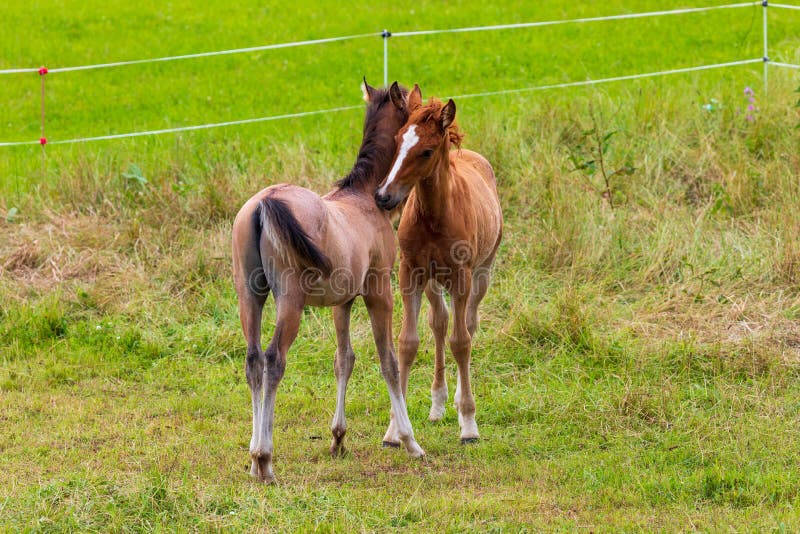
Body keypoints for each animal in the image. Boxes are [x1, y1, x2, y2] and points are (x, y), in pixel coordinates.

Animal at [231, 80, 424, 486]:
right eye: (408, 114)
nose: (391, 195)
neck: (364, 197)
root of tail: (266, 202)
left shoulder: (342, 301)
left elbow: (343, 359)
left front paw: (338, 438)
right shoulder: (378, 291)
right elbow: (388, 360)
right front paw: (409, 440)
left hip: (250, 297)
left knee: (253, 361)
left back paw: (254, 460)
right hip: (290, 302)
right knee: (274, 360)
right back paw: (265, 459)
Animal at [374, 86, 500, 446]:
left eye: (426, 151)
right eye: (398, 139)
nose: (383, 196)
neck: (433, 215)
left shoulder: (461, 276)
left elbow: (462, 342)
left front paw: (469, 424)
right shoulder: (409, 272)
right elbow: (407, 342)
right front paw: (394, 429)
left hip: (481, 274)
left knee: (467, 325)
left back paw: (456, 402)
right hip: (432, 282)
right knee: (440, 322)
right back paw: (438, 404)